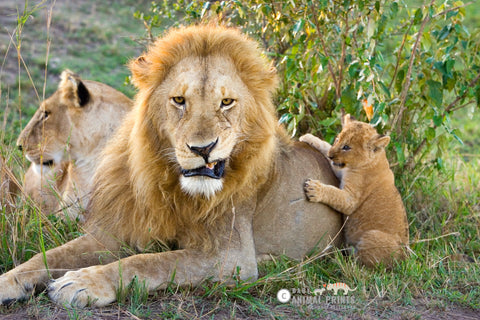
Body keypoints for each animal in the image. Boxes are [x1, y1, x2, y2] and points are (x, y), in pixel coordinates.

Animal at [300, 114, 408, 266]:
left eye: (346, 147)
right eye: (337, 139)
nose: (331, 155)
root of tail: (406, 258)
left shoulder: (351, 199)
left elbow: (334, 193)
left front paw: (314, 189)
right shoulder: (340, 170)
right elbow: (325, 145)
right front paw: (308, 137)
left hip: (372, 236)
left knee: (360, 262)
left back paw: (339, 255)